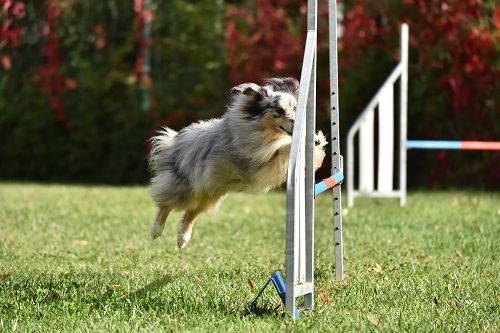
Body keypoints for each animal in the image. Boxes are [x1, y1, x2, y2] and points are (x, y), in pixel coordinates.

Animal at [148, 76, 328, 248]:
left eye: (295, 109)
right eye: (279, 110)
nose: (297, 124)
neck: (267, 132)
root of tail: (172, 143)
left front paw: (316, 141)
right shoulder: (259, 155)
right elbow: (281, 148)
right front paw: (311, 142)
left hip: (211, 193)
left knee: (191, 213)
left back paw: (183, 239)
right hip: (185, 187)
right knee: (165, 205)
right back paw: (156, 231)